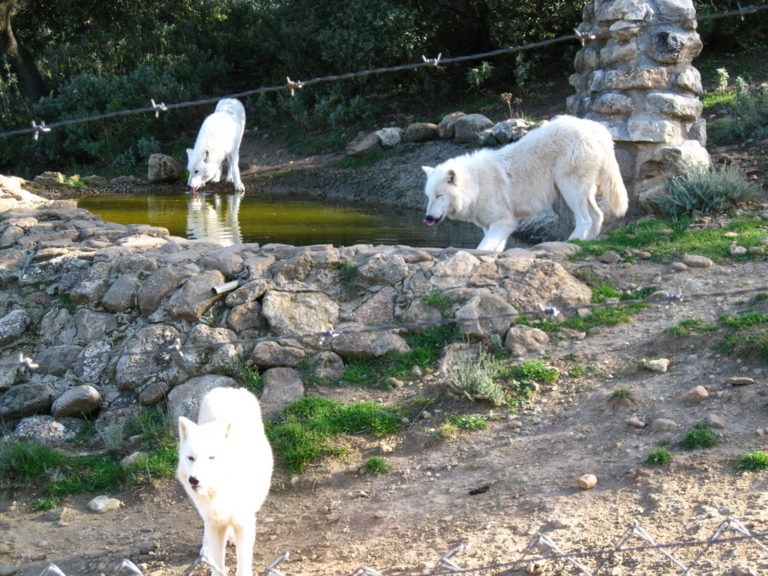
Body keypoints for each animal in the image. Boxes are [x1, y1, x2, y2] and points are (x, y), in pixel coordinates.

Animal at [176, 386, 273, 576]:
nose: (193, 480)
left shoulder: (244, 522)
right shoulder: (214, 523)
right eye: (191, 458)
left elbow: (243, 562)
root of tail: (229, 389)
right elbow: (217, 565)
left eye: (211, 457)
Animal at [422, 115, 628, 252]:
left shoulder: (504, 221)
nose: (428, 218)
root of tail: (597, 128)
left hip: (569, 188)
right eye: (429, 197)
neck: (476, 185)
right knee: (598, 215)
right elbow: (494, 249)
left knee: (585, 219)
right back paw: (588, 243)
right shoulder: (491, 226)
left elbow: (483, 248)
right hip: (582, 190)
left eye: (440, 196)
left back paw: (571, 242)